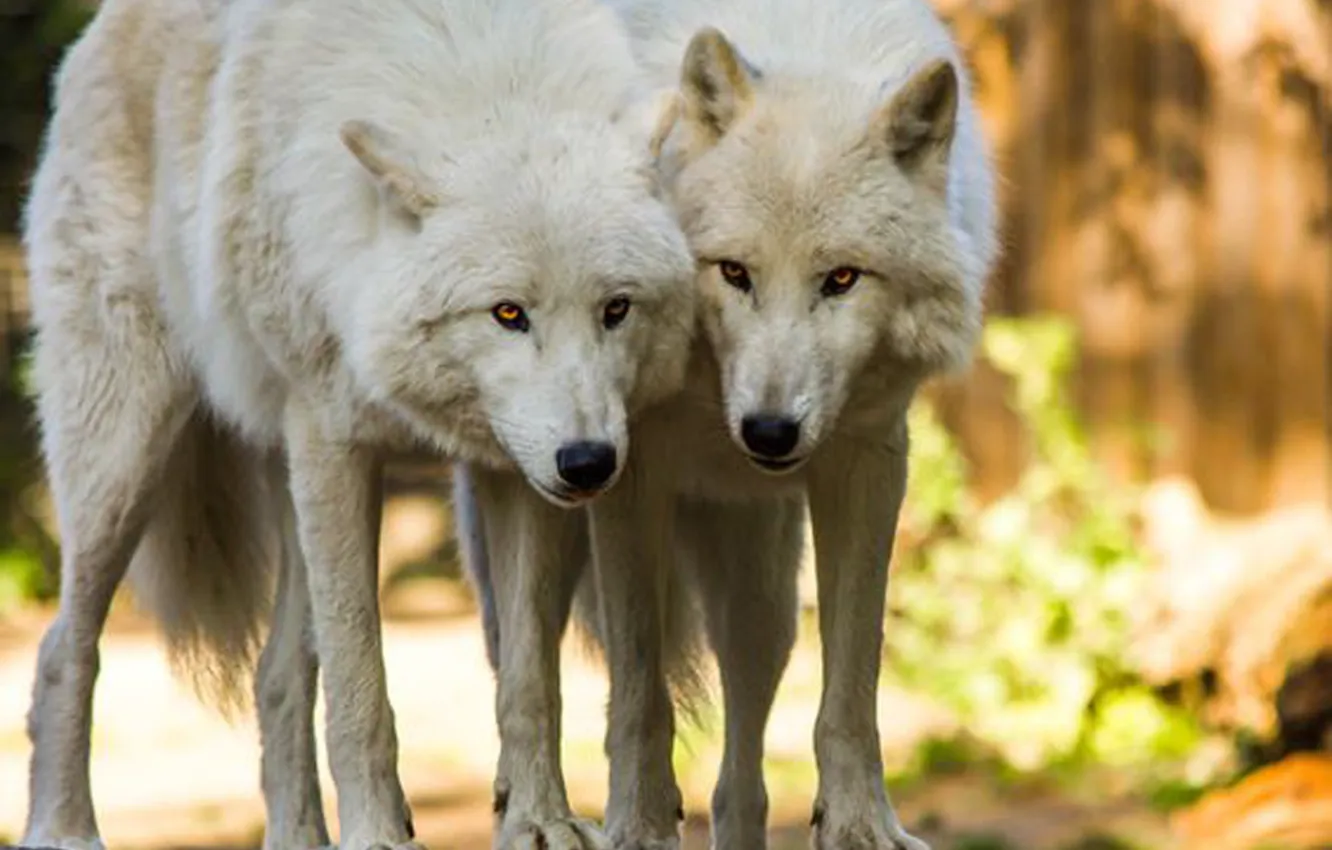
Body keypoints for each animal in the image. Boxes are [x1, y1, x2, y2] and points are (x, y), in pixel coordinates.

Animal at [17, 0, 694, 847]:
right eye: (509, 313)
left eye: (616, 309)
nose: (590, 463)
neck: (490, 78)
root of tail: (93, 38)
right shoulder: (335, 443)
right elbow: (359, 683)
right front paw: (376, 831)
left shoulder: (512, 470)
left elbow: (529, 680)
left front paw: (539, 821)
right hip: (127, 455)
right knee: (61, 650)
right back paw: (63, 827)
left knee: (274, 676)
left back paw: (296, 837)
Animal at [455, 0, 999, 849]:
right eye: (734, 272)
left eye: (842, 279)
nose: (769, 434)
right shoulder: (630, 477)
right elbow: (639, 687)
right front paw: (638, 824)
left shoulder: (870, 458)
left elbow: (854, 679)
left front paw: (860, 823)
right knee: (522, 663)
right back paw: (530, 806)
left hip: (760, 589)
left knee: (744, 748)